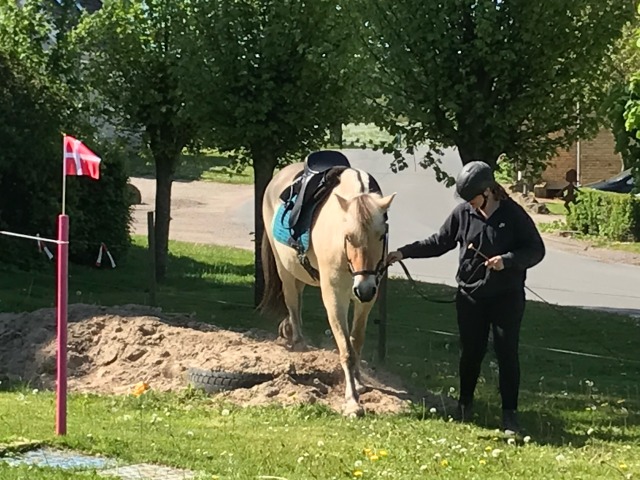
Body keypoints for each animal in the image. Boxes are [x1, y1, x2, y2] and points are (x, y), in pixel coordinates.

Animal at [258, 150, 392, 416]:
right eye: (348, 237)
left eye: (382, 235)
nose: (363, 288)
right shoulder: (334, 296)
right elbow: (346, 350)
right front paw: (352, 402)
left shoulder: (367, 300)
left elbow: (356, 342)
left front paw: (359, 383)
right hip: (284, 270)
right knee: (292, 303)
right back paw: (298, 342)